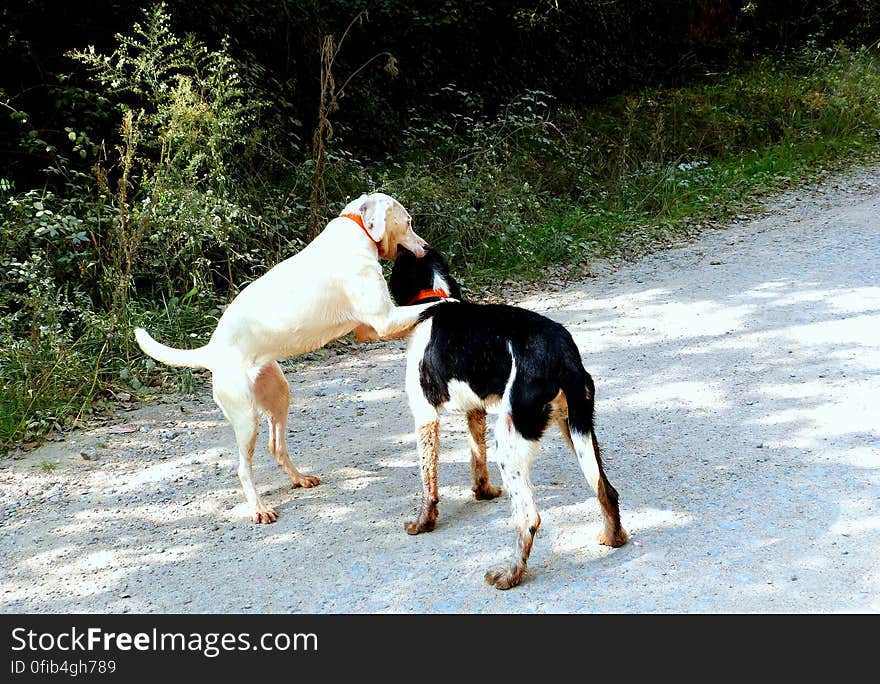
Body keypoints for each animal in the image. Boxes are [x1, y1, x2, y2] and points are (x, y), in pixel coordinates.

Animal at [135, 192, 444, 524]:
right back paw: (258, 509)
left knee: (276, 446)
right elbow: (435, 303)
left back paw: (298, 478)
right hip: (246, 418)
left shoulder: (370, 330)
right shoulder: (384, 320)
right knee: (243, 467)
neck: (357, 229)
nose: (427, 247)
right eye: (408, 222)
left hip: (279, 396)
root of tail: (212, 349)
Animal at [390, 247, 624, 588]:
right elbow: (477, 460)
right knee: (606, 489)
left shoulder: (425, 416)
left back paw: (511, 573)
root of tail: (563, 354)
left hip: (511, 441)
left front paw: (423, 523)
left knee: (529, 518)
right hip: (575, 427)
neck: (435, 298)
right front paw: (483, 493)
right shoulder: (475, 410)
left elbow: (428, 483)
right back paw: (613, 537)